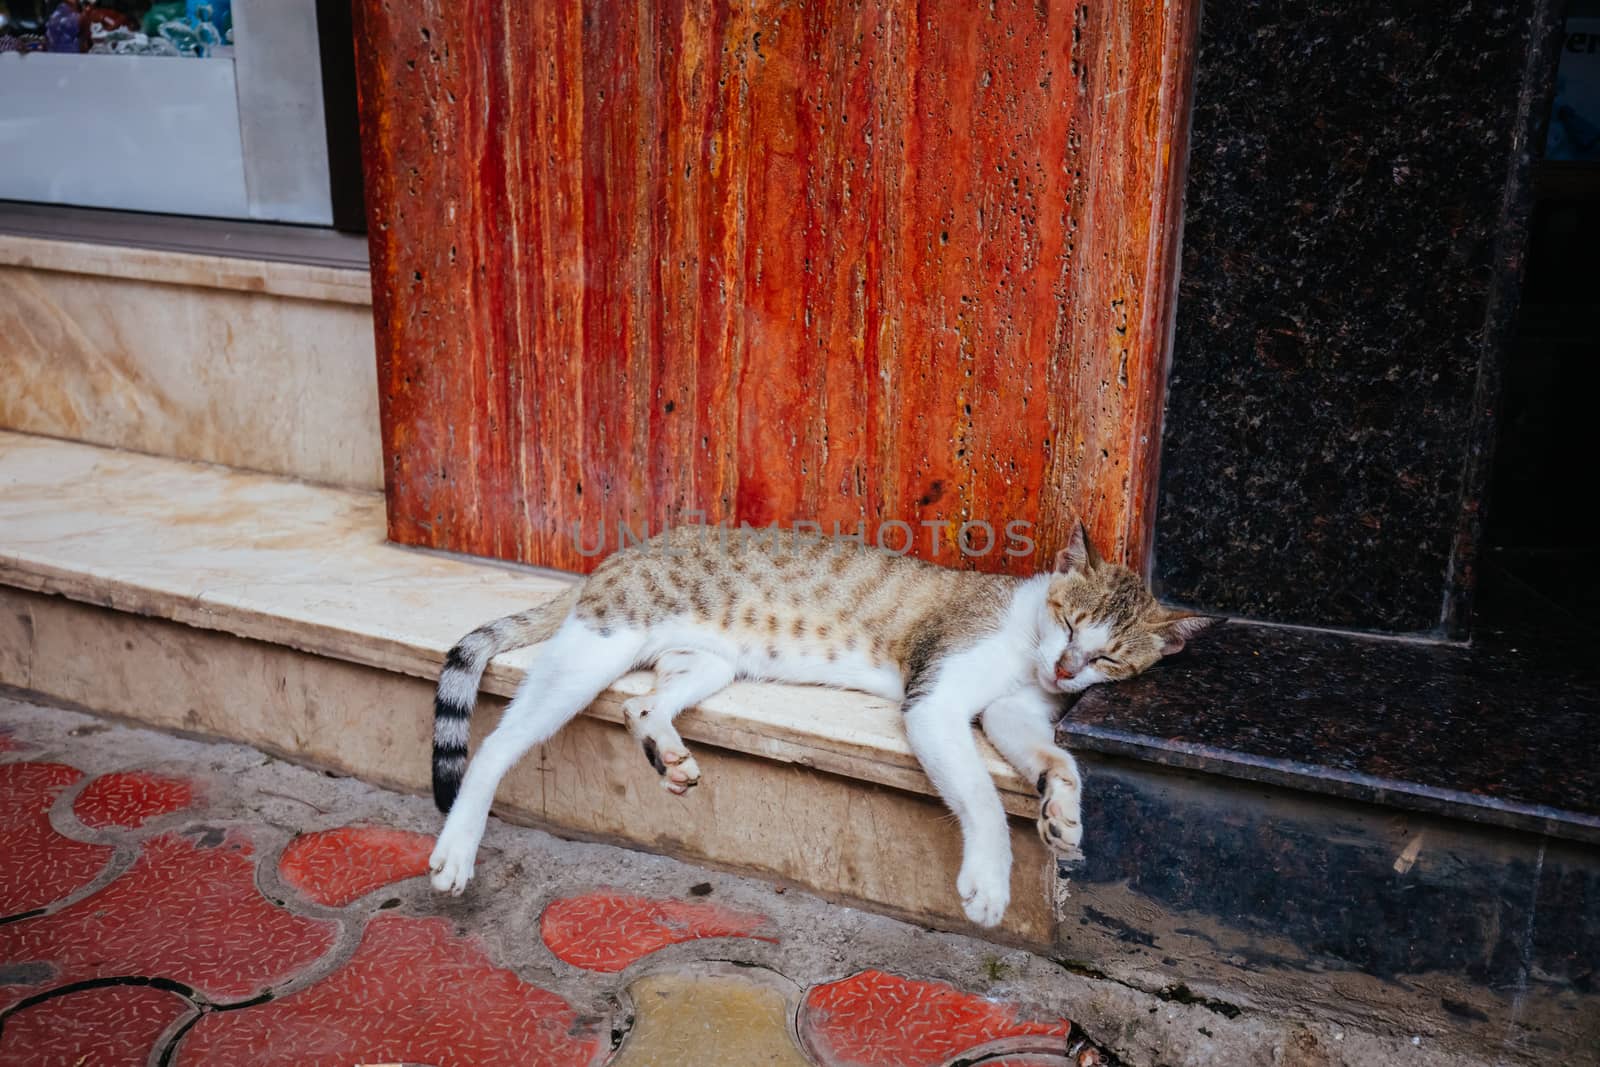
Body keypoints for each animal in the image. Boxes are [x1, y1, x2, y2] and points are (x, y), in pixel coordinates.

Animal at [425, 518, 1209, 927]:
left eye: (1108, 657)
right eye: (1069, 621)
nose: (1069, 671)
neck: (1027, 647)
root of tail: (617, 556)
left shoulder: (1015, 707)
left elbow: (1056, 757)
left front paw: (1062, 812)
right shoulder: (935, 697)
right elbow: (983, 799)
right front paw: (989, 879)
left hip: (707, 663)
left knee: (640, 703)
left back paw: (666, 754)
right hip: (597, 646)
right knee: (495, 744)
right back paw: (457, 846)